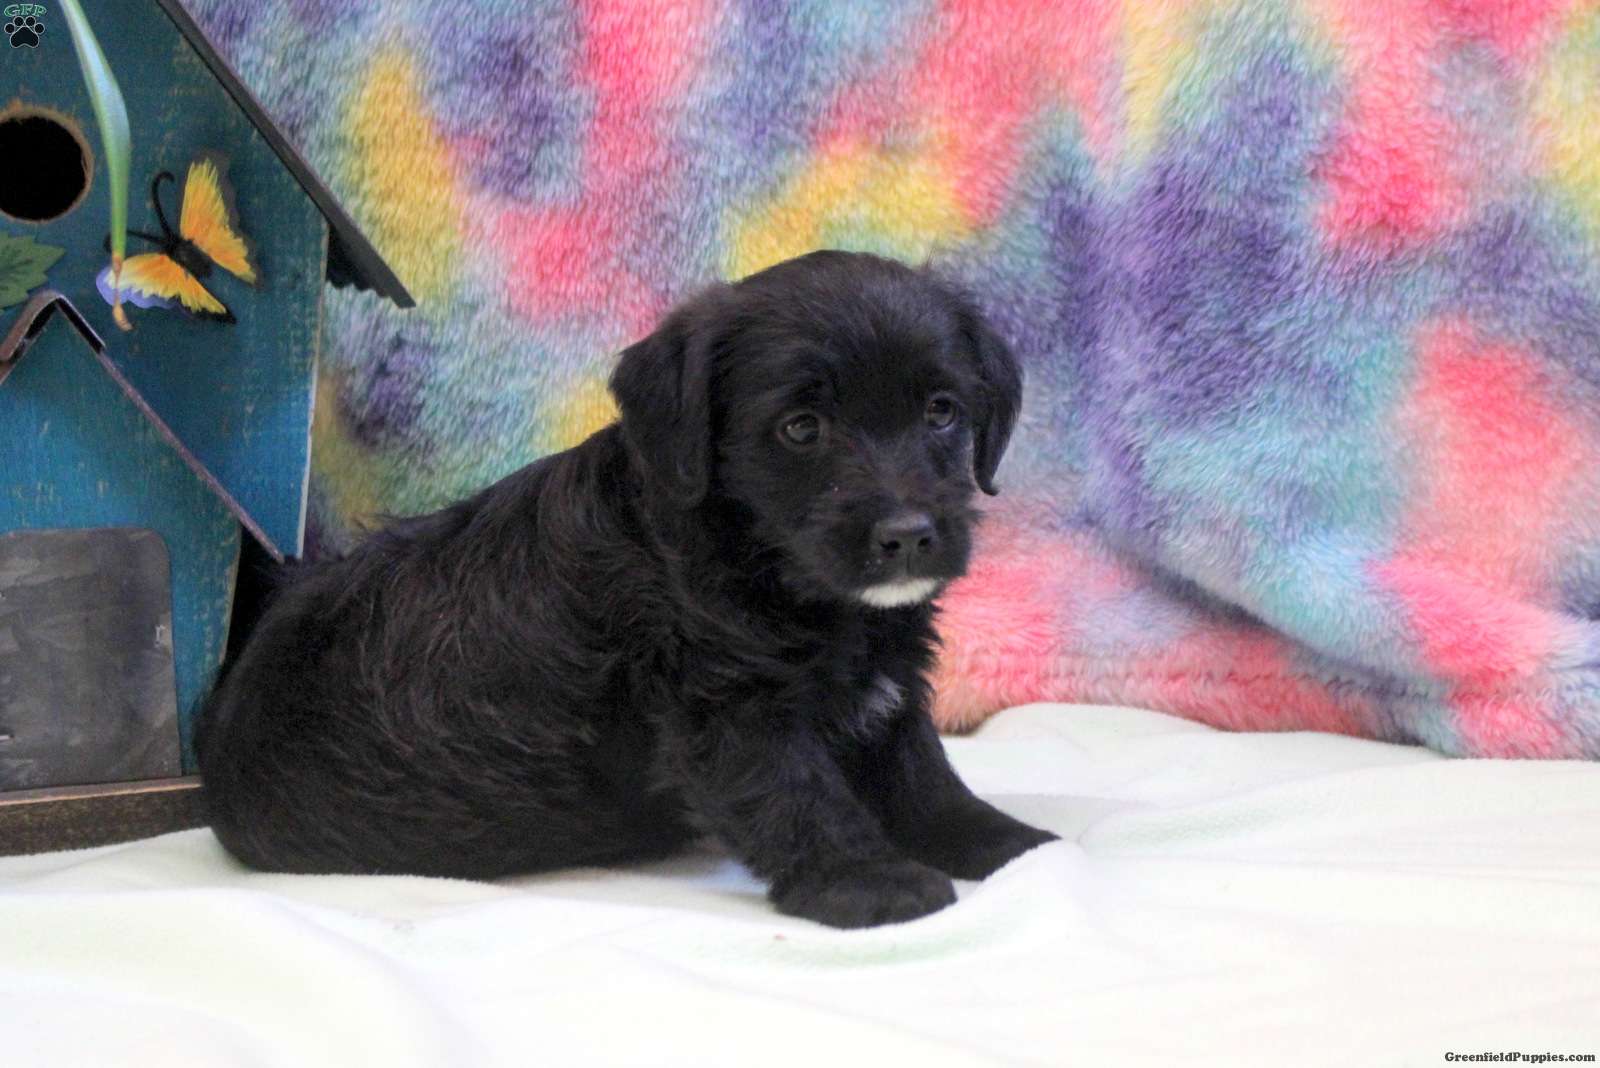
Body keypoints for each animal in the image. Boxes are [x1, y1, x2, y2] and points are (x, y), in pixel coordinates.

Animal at [197, 250, 1057, 928]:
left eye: (941, 412)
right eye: (801, 428)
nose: (908, 534)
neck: (757, 557)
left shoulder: (889, 689)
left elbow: (924, 778)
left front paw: (1009, 846)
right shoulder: (728, 711)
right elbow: (799, 794)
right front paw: (867, 879)